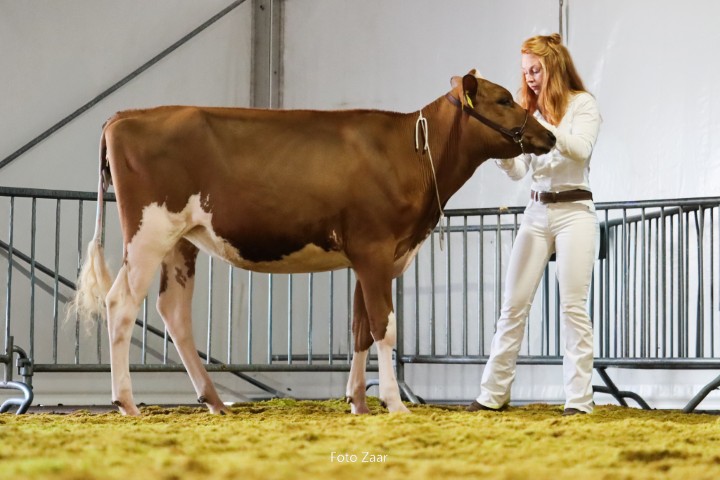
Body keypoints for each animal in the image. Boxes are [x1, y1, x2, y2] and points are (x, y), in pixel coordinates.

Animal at [73, 70, 555, 416]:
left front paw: (358, 402)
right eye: (504, 100)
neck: (411, 153)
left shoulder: (371, 256)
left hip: (181, 240)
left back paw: (212, 400)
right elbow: (384, 326)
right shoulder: (375, 249)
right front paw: (394, 403)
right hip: (148, 232)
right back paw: (127, 403)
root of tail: (127, 115)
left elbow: (360, 329)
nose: (549, 136)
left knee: (173, 311)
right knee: (120, 303)